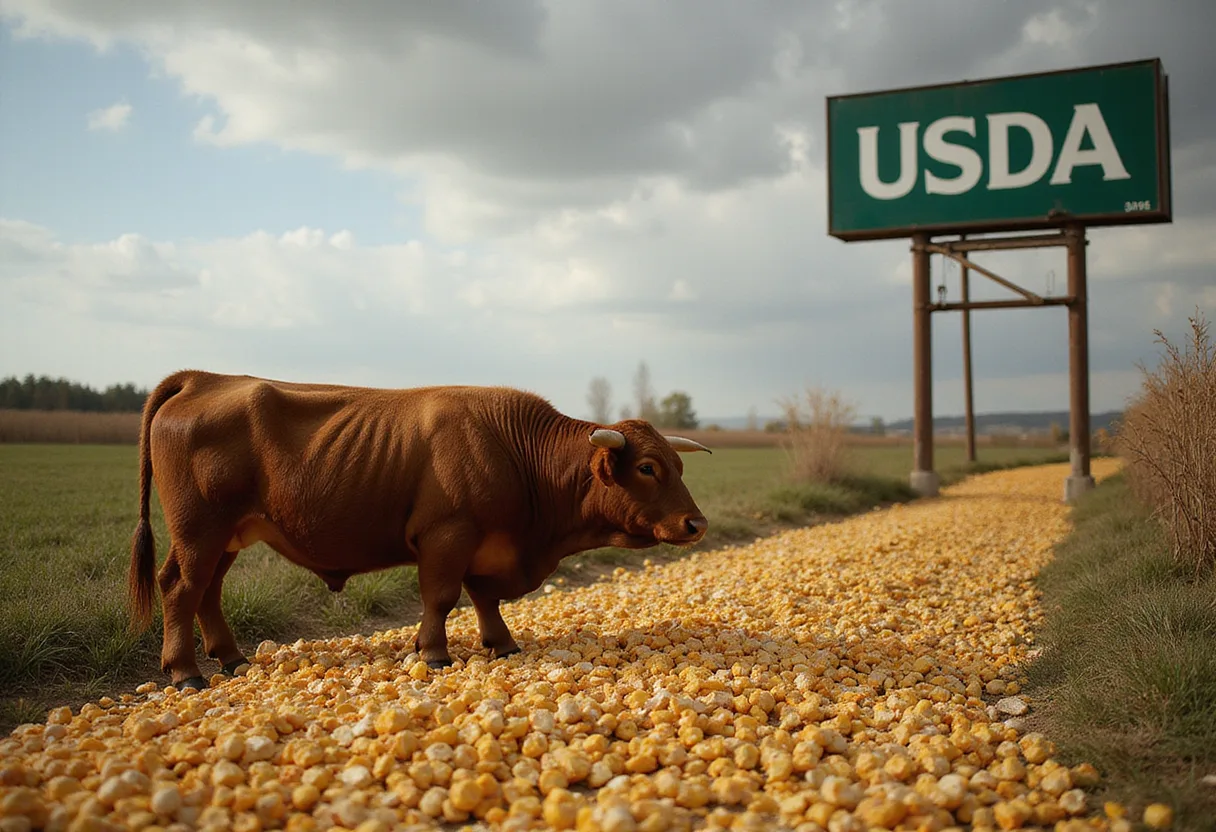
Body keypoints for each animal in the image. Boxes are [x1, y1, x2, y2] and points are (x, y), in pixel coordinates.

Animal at [127, 370, 711, 690]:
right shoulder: (447, 536)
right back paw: (185, 672)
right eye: (647, 468)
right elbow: (442, 598)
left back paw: (231, 658)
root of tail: (204, 377)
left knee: (208, 592)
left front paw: (503, 645)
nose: (697, 522)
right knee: (181, 588)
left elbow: (484, 600)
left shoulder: (486, 546)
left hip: (227, 534)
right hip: (200, 529)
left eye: (679, 466)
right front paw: (433, 652)